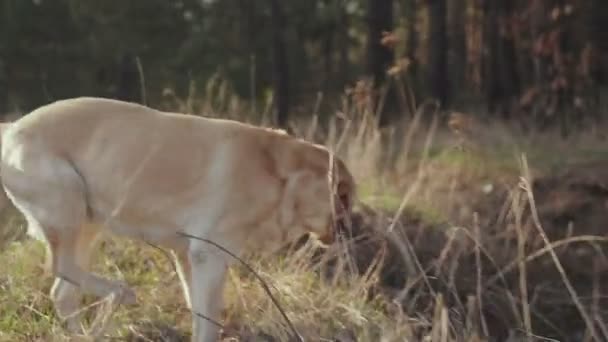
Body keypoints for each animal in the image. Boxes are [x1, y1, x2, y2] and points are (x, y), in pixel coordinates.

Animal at [0, 97, 356, 342]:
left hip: (89, 224)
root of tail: (12, 129)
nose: (348, 231)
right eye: (343, 196)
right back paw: (120, 293)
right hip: (69, 208)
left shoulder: (187, 256)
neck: (277, 174)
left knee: (63, 290)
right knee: (61, 270)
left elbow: (200, 315)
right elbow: (209, 322)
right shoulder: (208, 257)